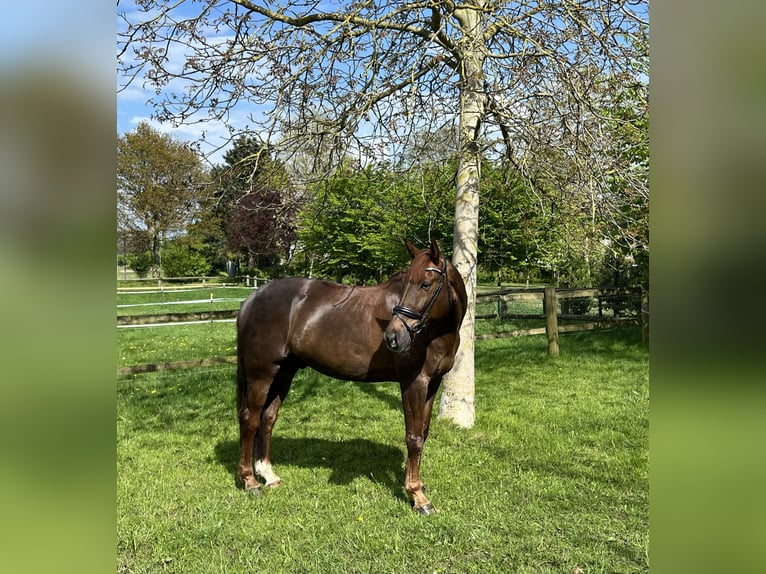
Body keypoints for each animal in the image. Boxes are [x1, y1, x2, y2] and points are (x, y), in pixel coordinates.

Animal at [236, 236, 468, 516]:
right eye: (406, 284)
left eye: (425, 284)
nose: (394, 337)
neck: (435, 332)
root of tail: (252, 299)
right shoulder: (414, 383)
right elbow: (413, 438)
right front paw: (417, 497)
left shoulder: (432, 384)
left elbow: (423, 433)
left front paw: (418, 486)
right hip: (261, 374)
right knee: (250, 419)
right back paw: (249, 481)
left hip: (284, 372)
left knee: (267, 418)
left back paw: (268, 475)